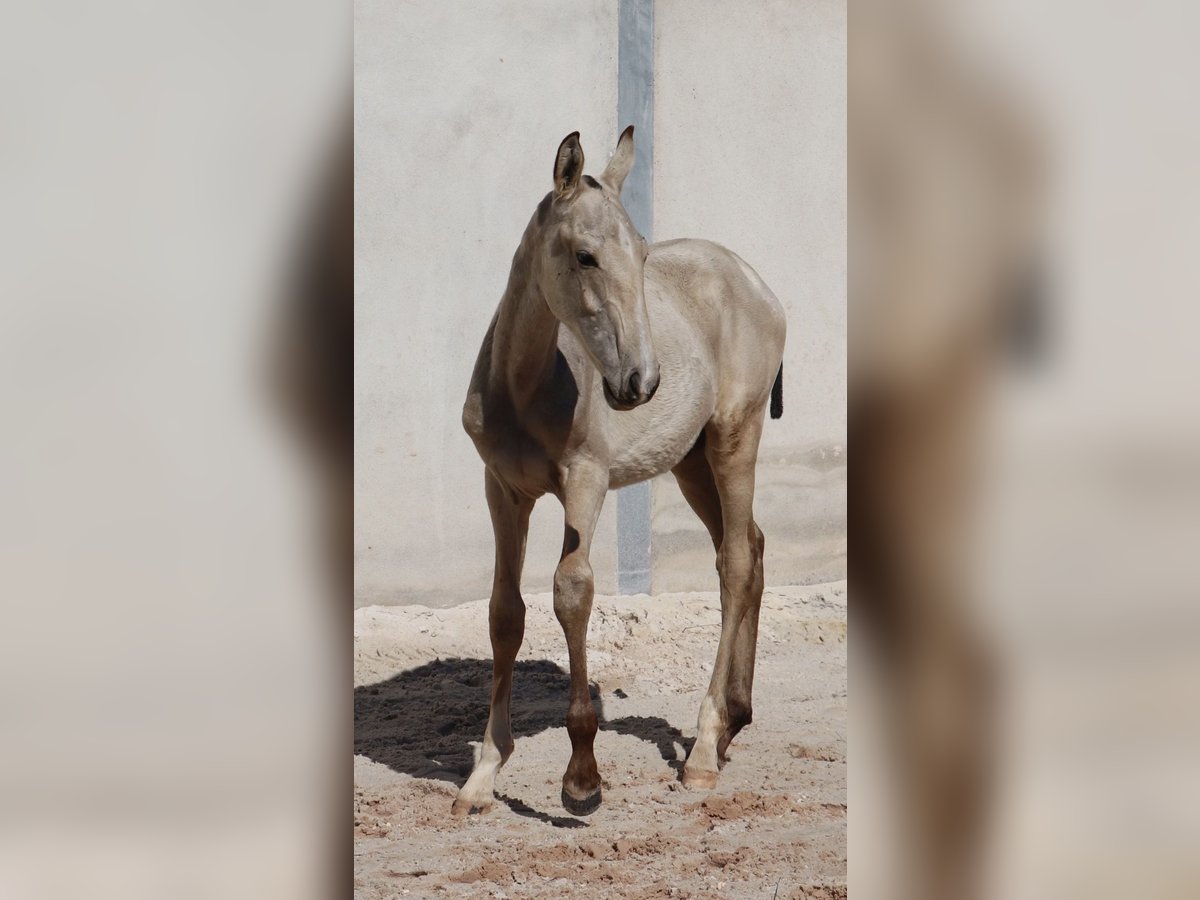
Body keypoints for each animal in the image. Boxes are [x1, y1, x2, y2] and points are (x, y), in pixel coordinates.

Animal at [453, 127, 786, 816]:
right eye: (585, 256)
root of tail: (752, 279)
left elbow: (572, 591)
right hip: (690, 463)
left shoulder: (586, 481)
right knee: (747, 546)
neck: (526, 387)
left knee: (738, 563)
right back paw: (734, 720)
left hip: (734, 438)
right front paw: (483, 775)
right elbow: (504, 612)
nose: (641, 382)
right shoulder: (503, 489)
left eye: (641, 253)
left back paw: (704, 749)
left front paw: (582, 779)